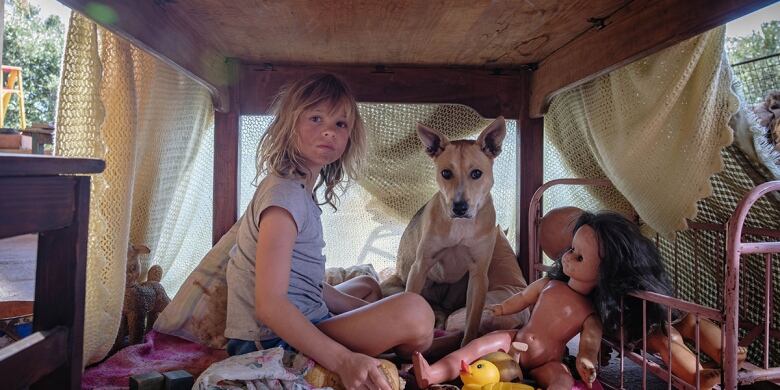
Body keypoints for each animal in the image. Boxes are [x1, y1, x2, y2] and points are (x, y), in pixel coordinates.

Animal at [382, 117, 506, 346]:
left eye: (476, 173)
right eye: (446, 173)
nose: (459, 207)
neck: (461, 227)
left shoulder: (479, 276)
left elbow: (472, 319)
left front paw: (468, 345)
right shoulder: (420, 267)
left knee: (446, 311)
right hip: (393, 287)